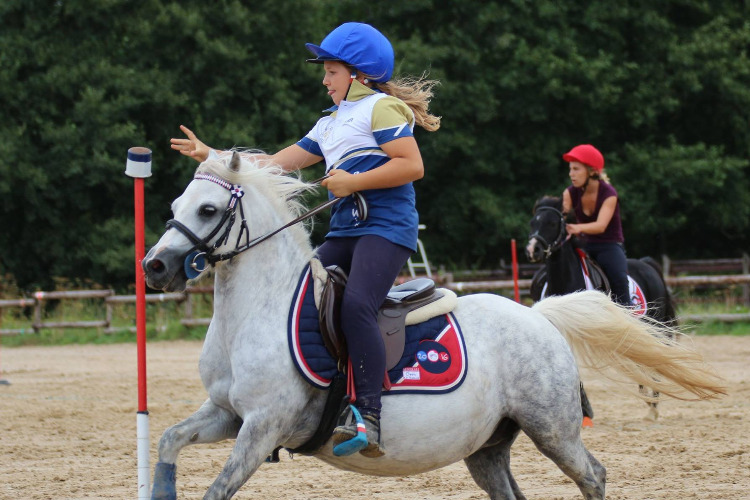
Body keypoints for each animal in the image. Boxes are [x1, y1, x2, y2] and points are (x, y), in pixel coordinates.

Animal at [525, 195, 679, 420]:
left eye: (552, 223)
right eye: (533, 222)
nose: (533, 249)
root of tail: (648, 265)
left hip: (656, 323)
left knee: (658, 355)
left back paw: (653, 404)